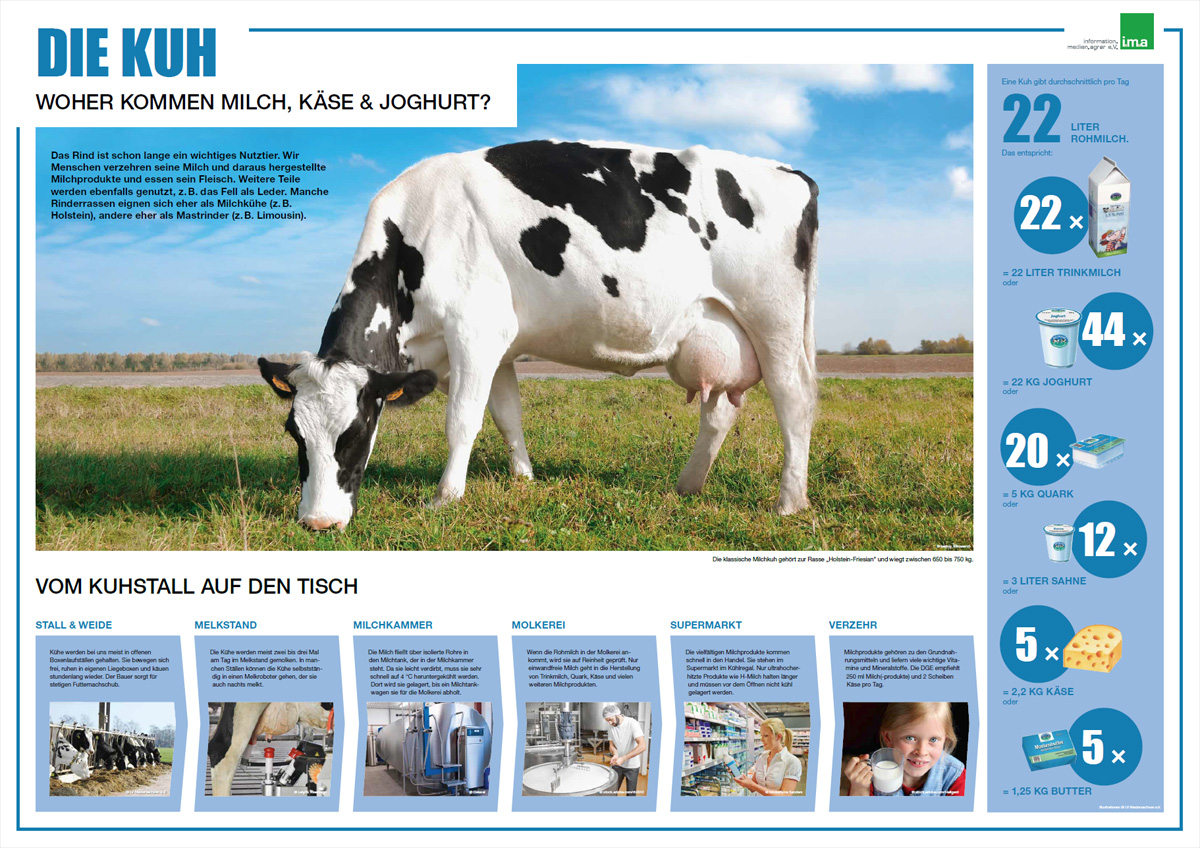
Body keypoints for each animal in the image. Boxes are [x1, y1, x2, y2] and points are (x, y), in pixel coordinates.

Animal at [259, 140, 819, 530]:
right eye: (295, 434)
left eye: (353, 434)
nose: (318, 522)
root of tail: (790, 173)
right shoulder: (499, 345)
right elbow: (507, 415)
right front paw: (524, 479)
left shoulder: (475, 330)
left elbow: (461, 420)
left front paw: (445, 498)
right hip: (717, 332)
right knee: (720, 410)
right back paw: (687, 486)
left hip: (774, 321)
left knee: (794, 400)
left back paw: (789, 503)